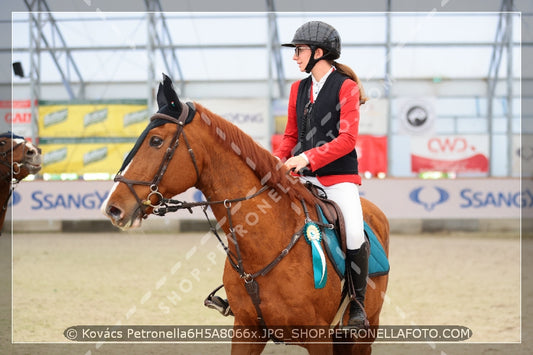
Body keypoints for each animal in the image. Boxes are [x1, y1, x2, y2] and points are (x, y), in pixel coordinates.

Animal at [103, 76, 386, 354]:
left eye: (156, 141)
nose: (113, 208)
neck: (263, 244)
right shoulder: (246, 330)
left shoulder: (318, 336)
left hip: (362, 334)